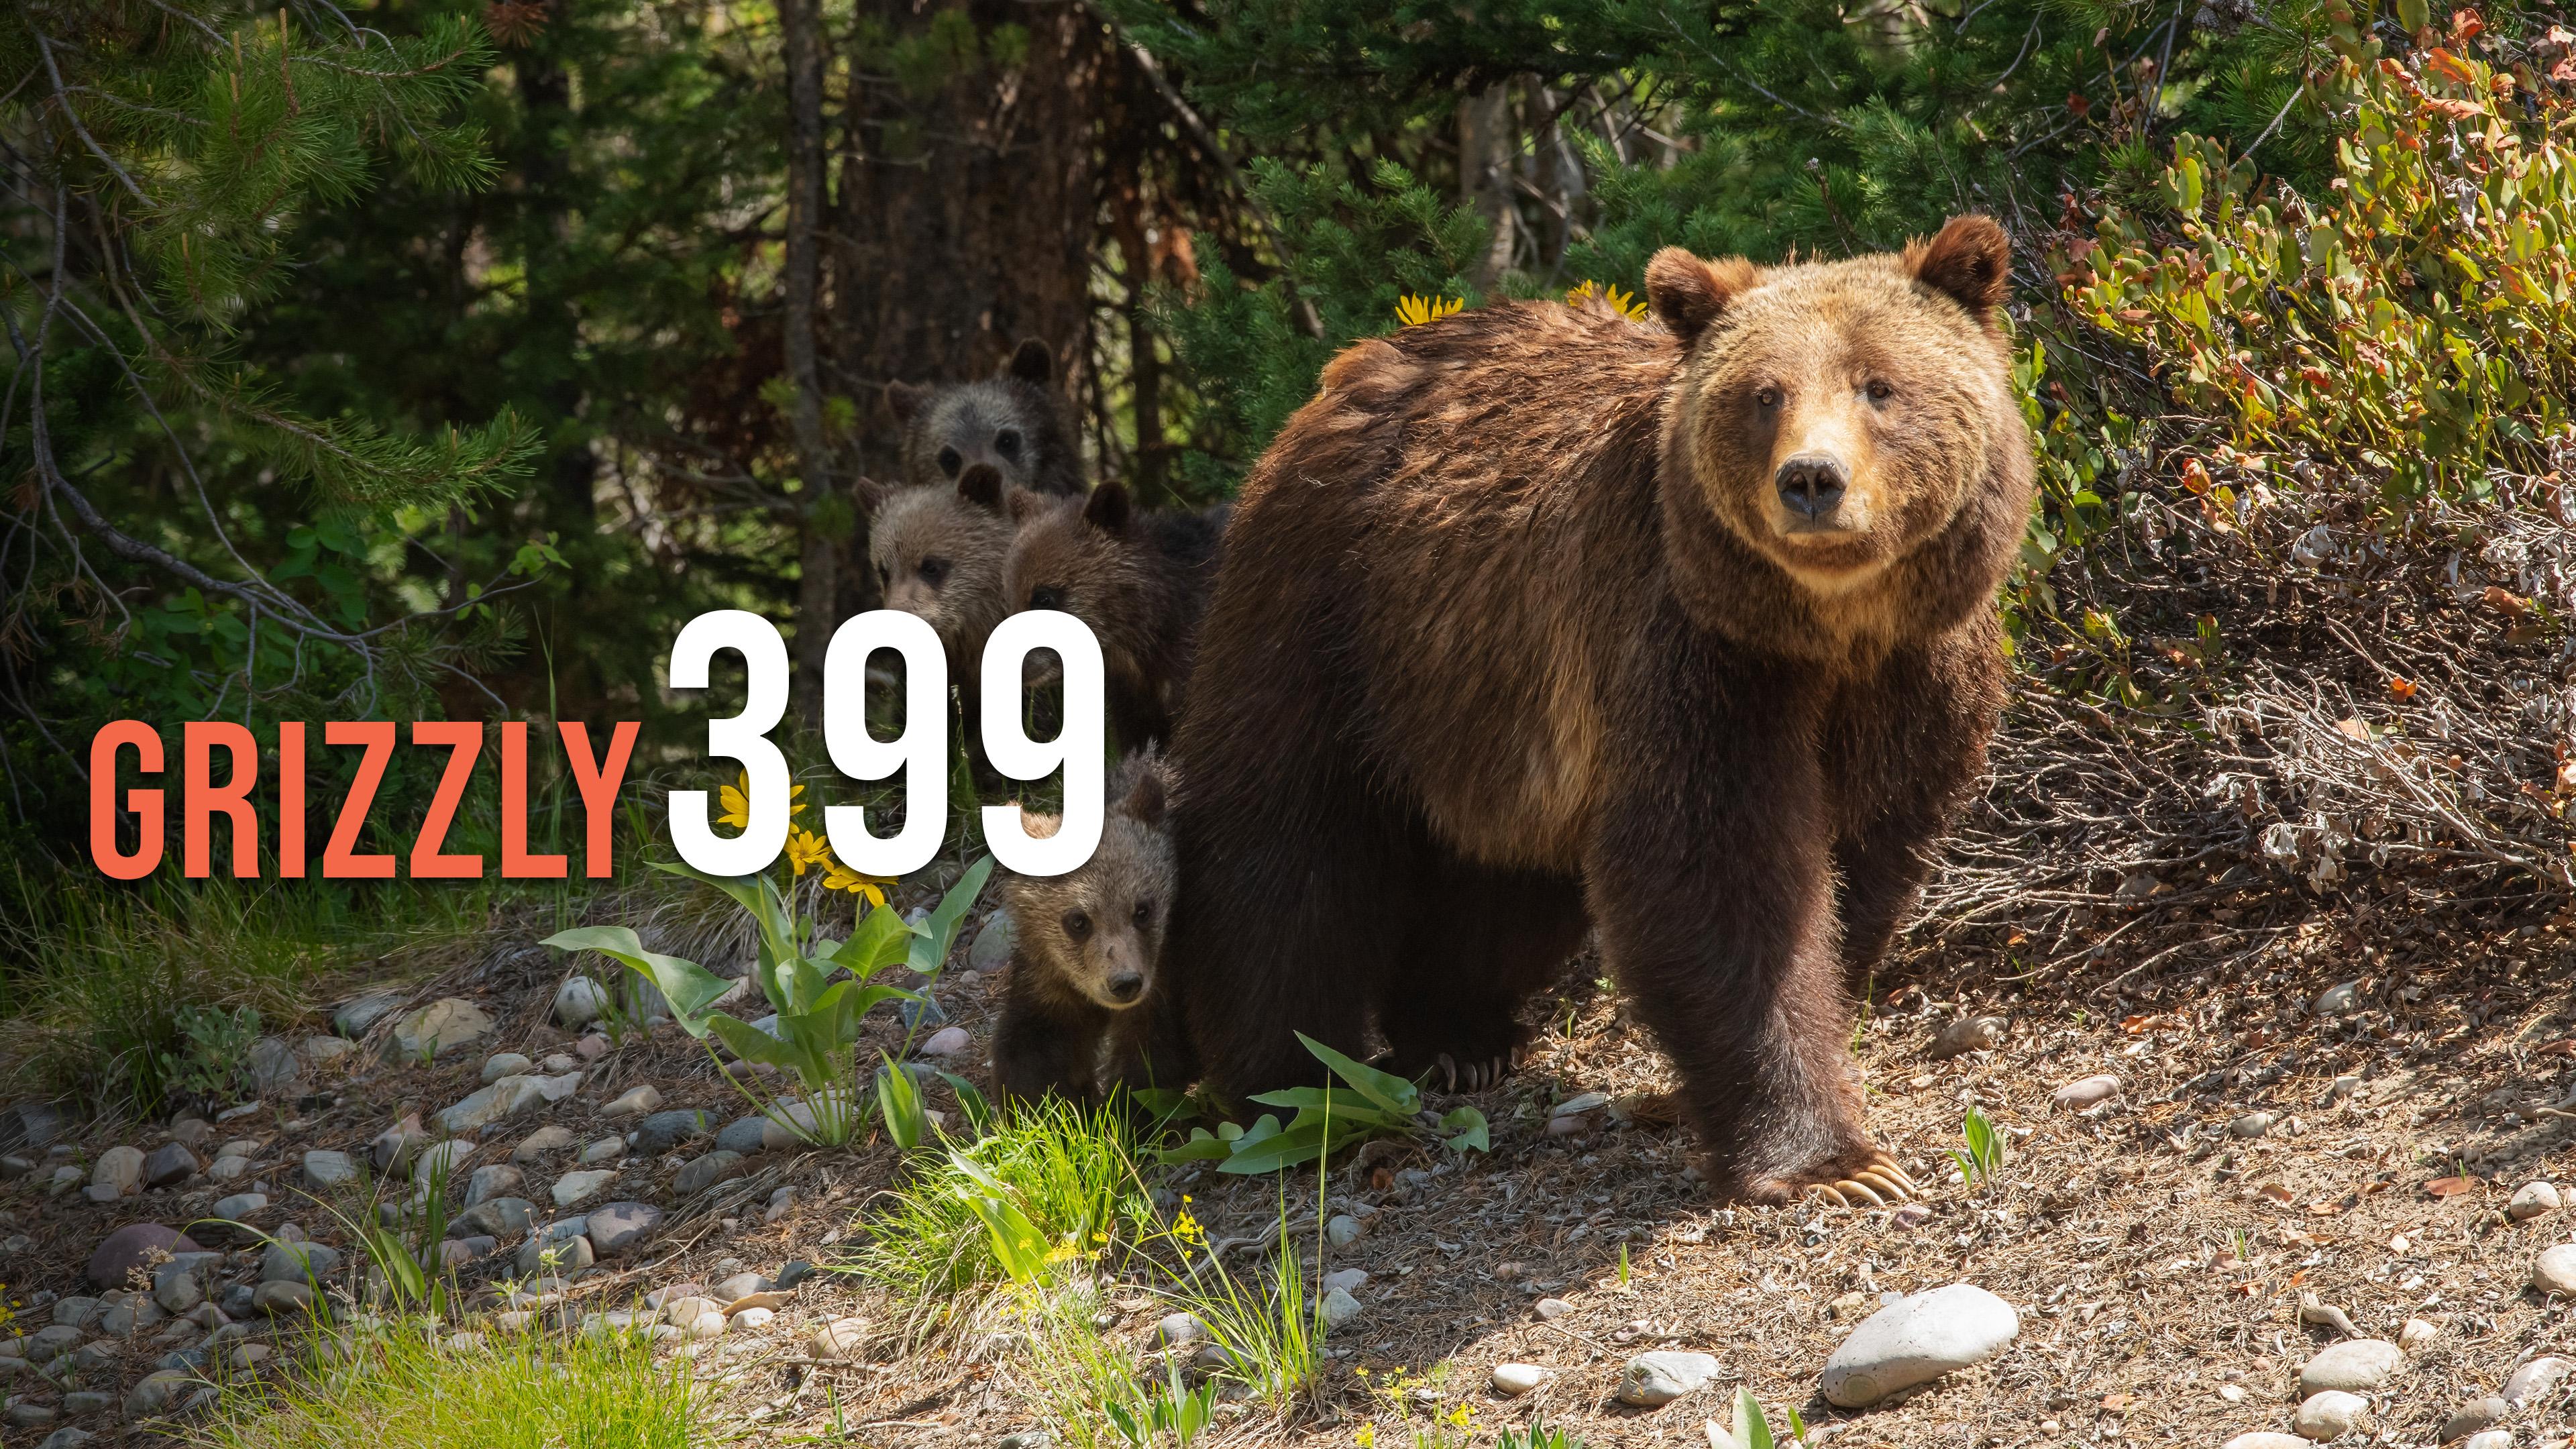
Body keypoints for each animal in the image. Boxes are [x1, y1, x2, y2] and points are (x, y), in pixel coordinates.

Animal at [991, 750, 1196, 1107]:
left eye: (1143, 910)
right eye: (1078, 921)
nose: (1125, 983)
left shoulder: (1164, 977)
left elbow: (1152, 1061)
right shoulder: (1049, 981)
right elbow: (1031, 1050)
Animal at [1159, 215, 2031, 1206]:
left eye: (1879, 385)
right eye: (1764, 395)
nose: (1813, 480)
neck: (1829, 629)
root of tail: (1349, 369)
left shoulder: (1914, 675)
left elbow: (1865, 857)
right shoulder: (1691, 653)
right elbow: (1717, 872)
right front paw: (1833, 1163)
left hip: (1492, 709)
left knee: (1506, 884)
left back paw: (1457, 1034)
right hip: (1334, 619)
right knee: (1284, 846)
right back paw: (1290, 1088)